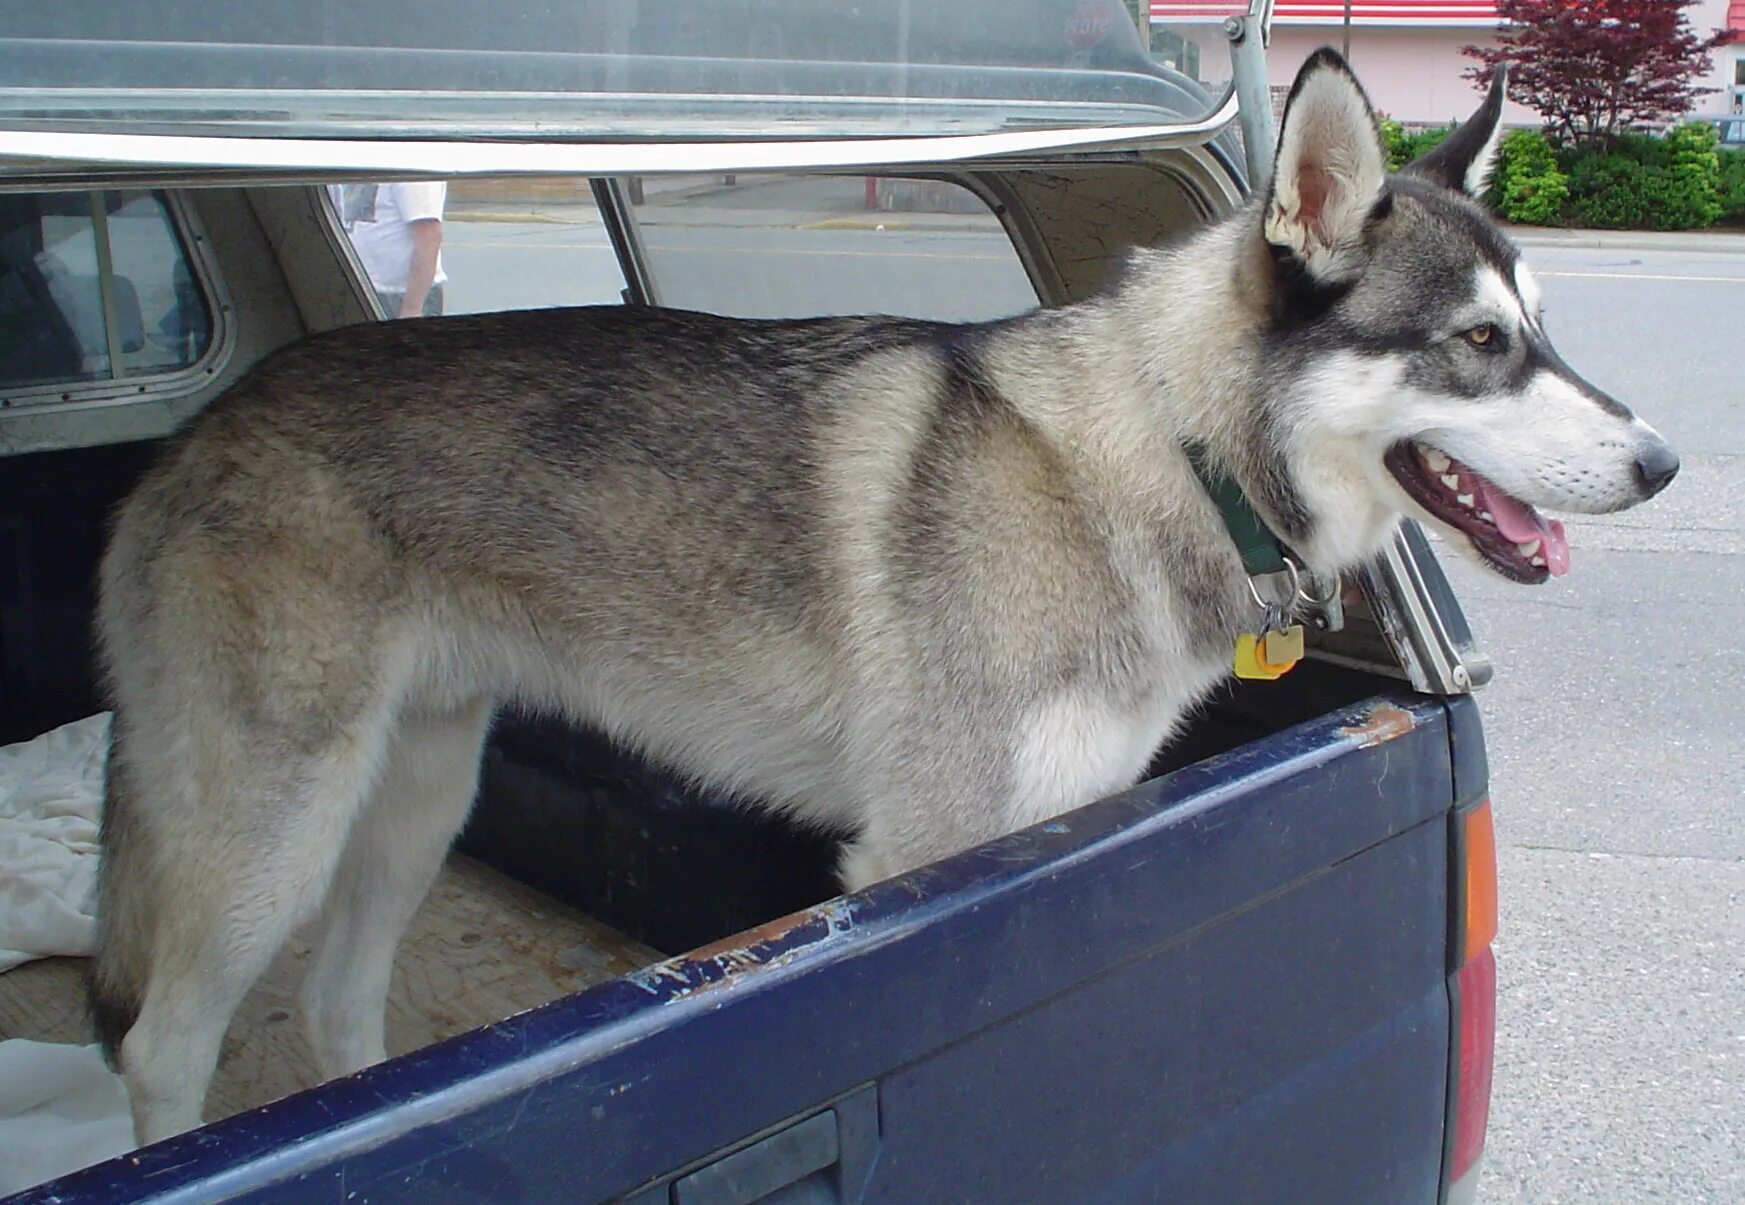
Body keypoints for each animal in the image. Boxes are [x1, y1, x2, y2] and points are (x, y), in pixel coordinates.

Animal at [92, 49, 1675, 1143]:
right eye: (1477, 343)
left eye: (1542, 332)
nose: (1661, 461)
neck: (1164, 447)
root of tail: (198, 432)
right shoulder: (915, 857)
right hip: (273, 838)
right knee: (163, 1047)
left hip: (413, 799)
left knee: (335, 1009)